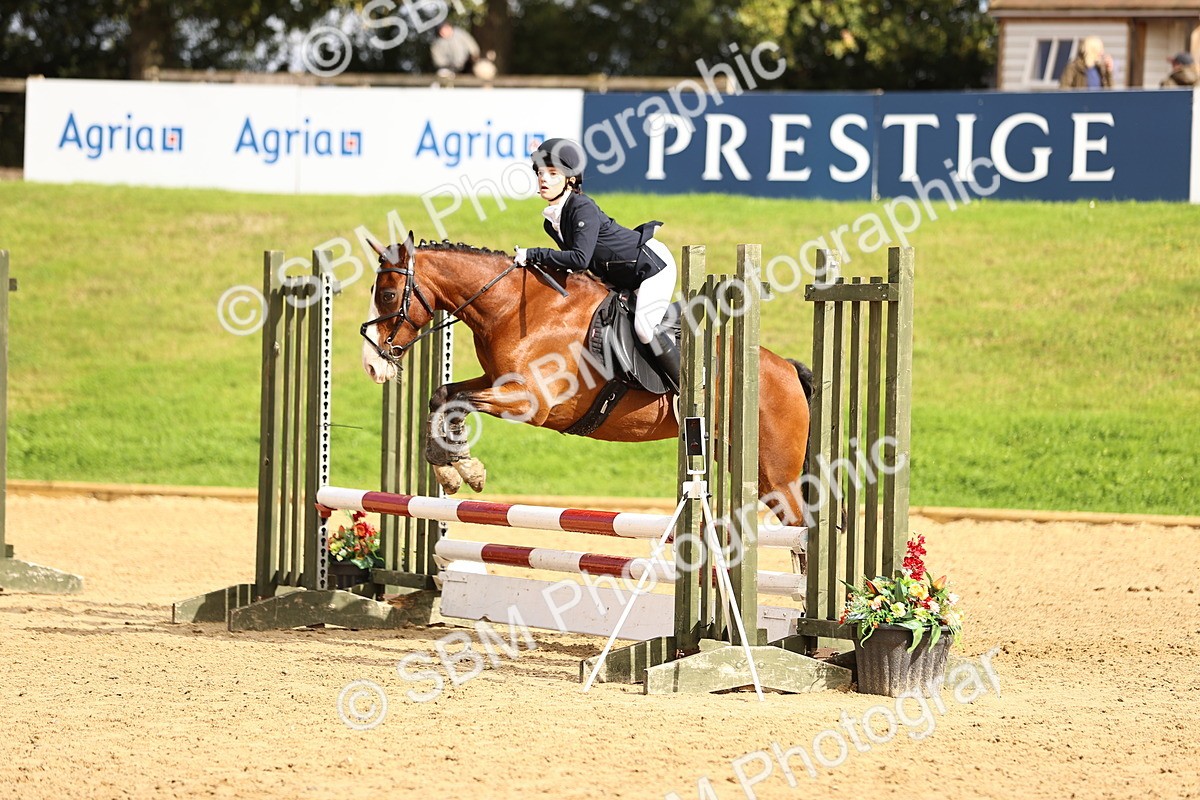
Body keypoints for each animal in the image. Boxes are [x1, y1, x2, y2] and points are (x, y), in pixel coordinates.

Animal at [359, 233, 814, 529]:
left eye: (387, 294)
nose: (371, 366)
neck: (511, 307)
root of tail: (786, 368)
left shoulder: (530, 402)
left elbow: (459, 402)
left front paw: (462, 468)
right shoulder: (497, 381)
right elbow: (443, 397)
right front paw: (457, 469)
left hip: (776, 474)